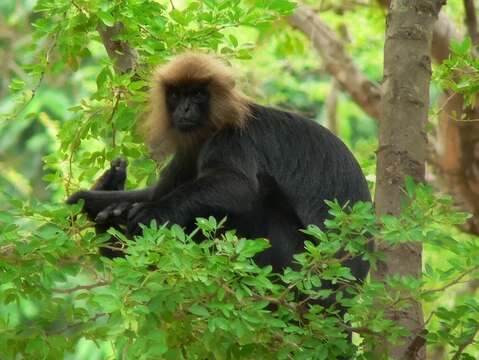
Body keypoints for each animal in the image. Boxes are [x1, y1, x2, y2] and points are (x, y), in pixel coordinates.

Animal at [67, 51, 374, 290]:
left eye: (197, 94)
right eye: (176, 95)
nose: (185, 109)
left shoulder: (231, 138)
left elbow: (237, 186)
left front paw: (152, 212)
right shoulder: (190, 149)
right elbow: (156, 191)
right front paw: (97, 197)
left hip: (300, 267)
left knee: (258, 194)